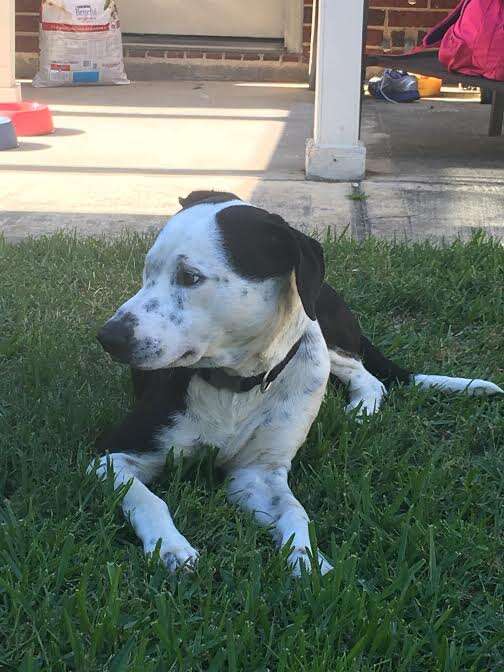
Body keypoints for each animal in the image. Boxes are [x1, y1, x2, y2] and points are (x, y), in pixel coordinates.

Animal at [92, 192, 502, 576]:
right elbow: (148, 499)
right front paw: (172, 548)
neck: (238, 384)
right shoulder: (112, 457)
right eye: (147, 270)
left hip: (319, 335)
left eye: (190, 277)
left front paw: (309, 562)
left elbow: (294, 511)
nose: (108, 337)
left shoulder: (258, 473)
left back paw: (361, 410)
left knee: (367, 376)